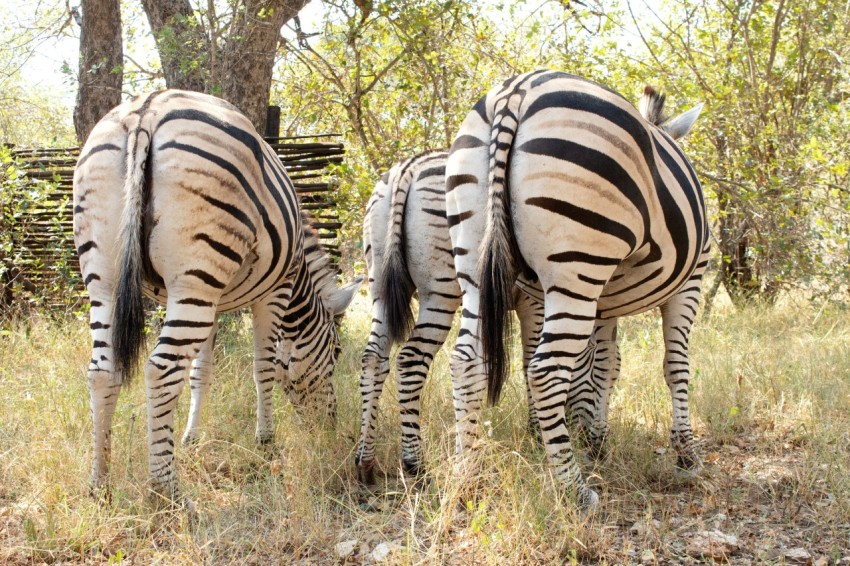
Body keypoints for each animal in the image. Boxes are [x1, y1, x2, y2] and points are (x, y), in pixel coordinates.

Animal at [73, 90, 361, 497]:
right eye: (336, 352)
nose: (329, 427)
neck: (300, 276)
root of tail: (146, 112)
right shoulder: (275, 292)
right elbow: (264, 366)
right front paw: (266, 440)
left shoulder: (213, 301)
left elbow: (201, 372)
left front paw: (191, 438)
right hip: (194, 274)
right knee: (161, 369)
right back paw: (166, 490)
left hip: (111, 277)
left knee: (103, 372)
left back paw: (99, 484)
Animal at [445, 70, 709, 510]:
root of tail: (515, 92)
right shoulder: (690, 283)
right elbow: (675, 366)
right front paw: (686, 452)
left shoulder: (606, 302)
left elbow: (605, 365)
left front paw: (596, 438)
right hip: (578, 264)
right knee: (545, 371)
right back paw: (573, 488)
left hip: (474, 263)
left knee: (466, 361)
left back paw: (469, 477)